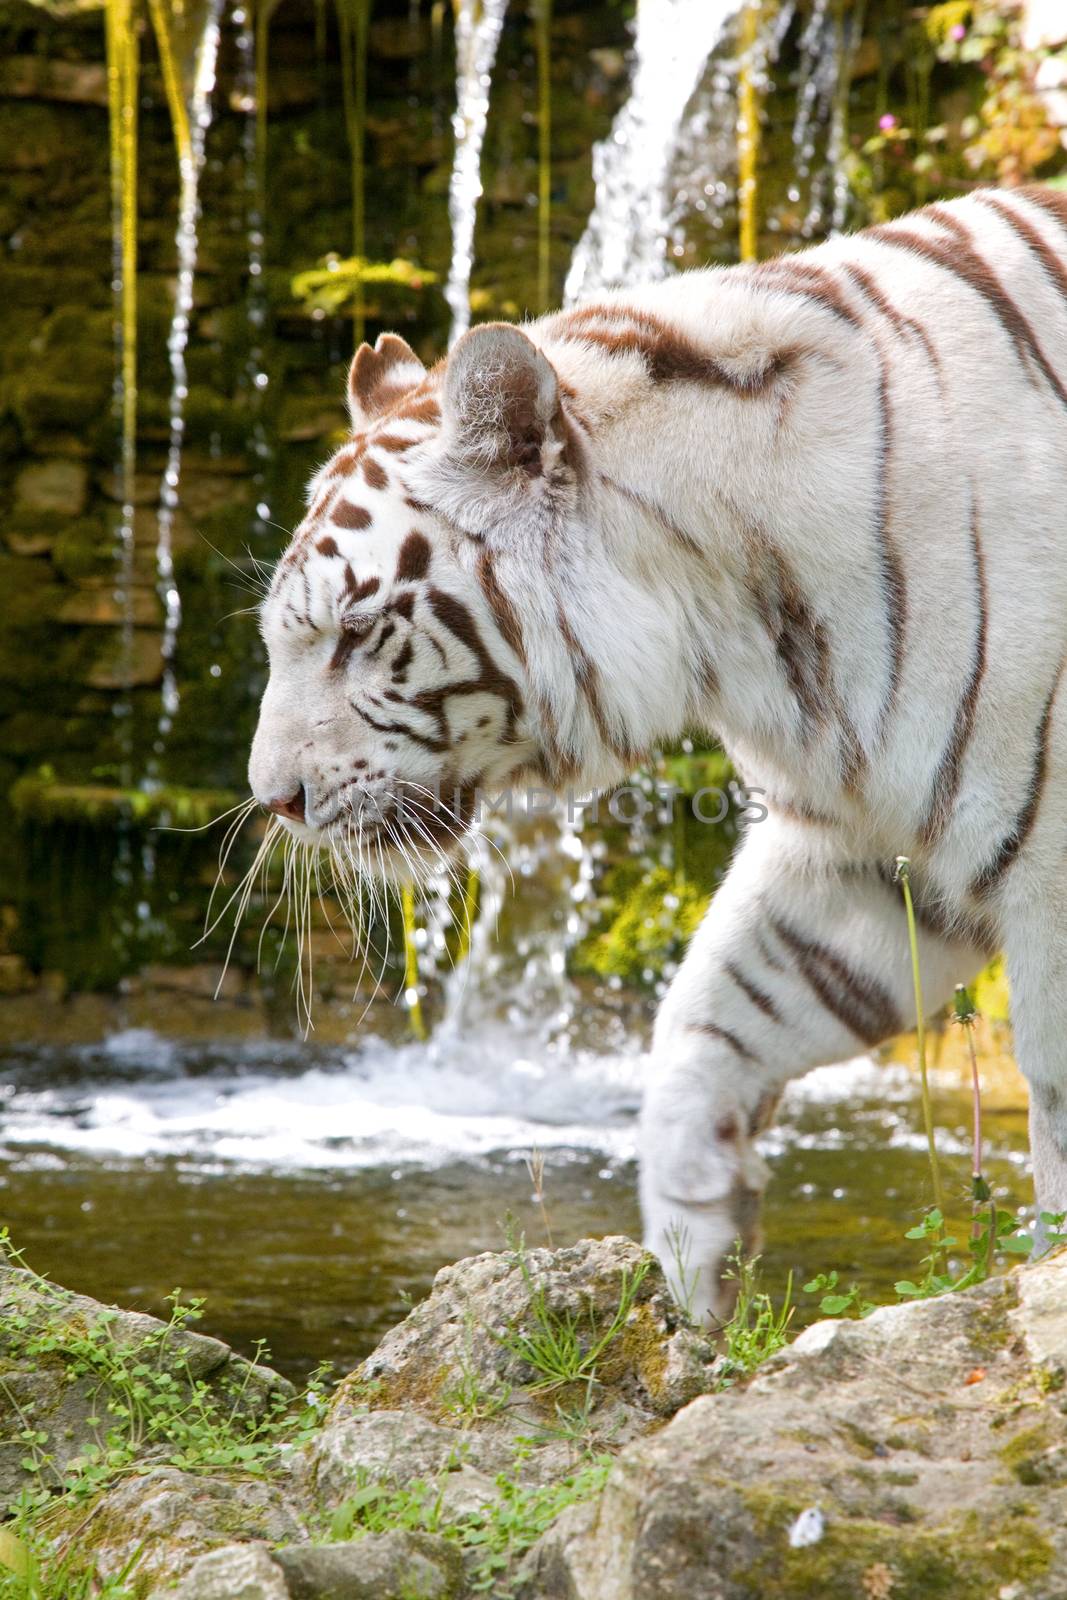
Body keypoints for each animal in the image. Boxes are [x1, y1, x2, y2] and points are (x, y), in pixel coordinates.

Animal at [252, 187, 1067, 1318]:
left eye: (358, 632)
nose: (271, 797)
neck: (750, 622)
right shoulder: (865, 841)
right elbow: (709, 1017)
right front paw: (697, 1255)